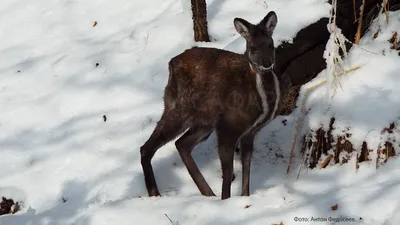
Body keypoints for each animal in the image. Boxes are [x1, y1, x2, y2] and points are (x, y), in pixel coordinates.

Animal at [141, 11, 282, 200]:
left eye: (270, 45)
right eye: (253, 48)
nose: (267, 63)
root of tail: (170, 64)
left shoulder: (250, 132)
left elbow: (247, 167)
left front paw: (245, 196)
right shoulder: (227, 125)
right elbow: (228, 172)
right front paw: (226, 200)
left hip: (204, 121)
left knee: (181, 144)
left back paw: (208, 193)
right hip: (179, 108)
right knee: (147, 147)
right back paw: (155, 193)